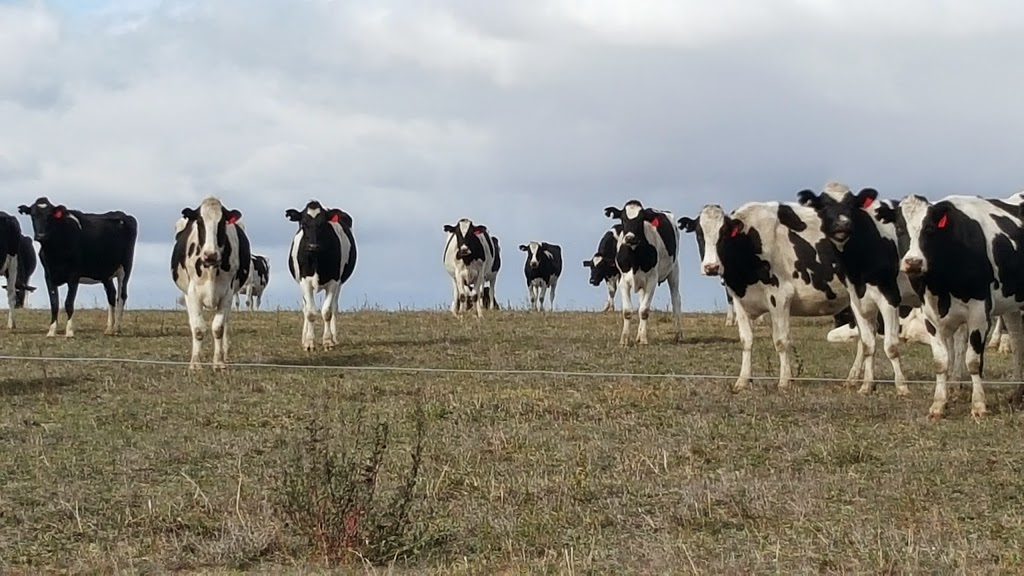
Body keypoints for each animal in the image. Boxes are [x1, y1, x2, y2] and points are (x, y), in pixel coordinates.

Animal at [18, 195, 137, 336]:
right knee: (111, 294)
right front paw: (51, 331)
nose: (41, 236)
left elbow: (69, 303)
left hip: (125, 267)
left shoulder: (73, 275)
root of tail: (122, 214)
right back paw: (109, 329)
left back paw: (117, 328)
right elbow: (54, 304)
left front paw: (69, 331)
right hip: (105, 272)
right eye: (33, 215)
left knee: (121, 296)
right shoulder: (48, 275)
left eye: (50, 216)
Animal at [172, 195, 251, 366]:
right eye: (200, 222)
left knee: (225, 324)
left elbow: (218, 328)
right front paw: (195, 363)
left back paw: (224, 353)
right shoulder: (192, 293)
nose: (210, 255)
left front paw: (219, 362)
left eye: (221, 223)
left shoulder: (227, 293)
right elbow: (198, 328)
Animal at [284, 199, 356, 352]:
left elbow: (327, 312)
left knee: (334, 307)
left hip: (339, 283)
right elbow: (310, 312)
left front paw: (328, 341)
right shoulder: (304, 281)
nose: (313, 246)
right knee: (305, 308)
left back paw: (334, 338)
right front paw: (309, 342)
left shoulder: (334, 281)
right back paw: (304, 337)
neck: (316, 259)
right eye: (303, 223)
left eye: (322, 224)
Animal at [602, 199, 684, 342]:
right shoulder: (623, 281)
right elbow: (628, 311)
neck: (634, 259)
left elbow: (644, 311)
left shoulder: (652, 280)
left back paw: (678, 334)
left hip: (674, 269)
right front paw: (625, 339)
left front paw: (644, 339)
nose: (630, 238)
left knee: (675, 299)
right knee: (641, 301)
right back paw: (638, 336)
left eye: (640, 219)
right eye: (623, 218)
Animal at [880, 192, 1024, 416]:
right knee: (1018, 342)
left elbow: (973, 361)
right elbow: (940, 362)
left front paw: (979, 405)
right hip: (1012, 305)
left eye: (929, 229)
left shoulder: (979, 313)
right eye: (900, 229)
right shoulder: (930, 316)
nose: (914, 262)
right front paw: (939, 405)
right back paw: (1017, 394)